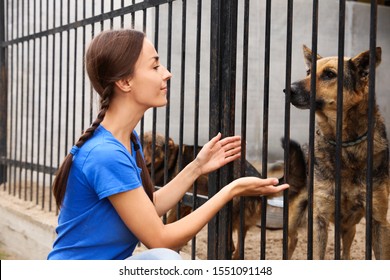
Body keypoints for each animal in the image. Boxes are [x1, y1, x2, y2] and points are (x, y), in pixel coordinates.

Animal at [284, 44, 390, 260]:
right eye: (309, 72)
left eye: (329, 75)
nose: (288, 89)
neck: (345, 145)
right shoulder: (319, 220)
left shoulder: (379, 220)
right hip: (293, 221)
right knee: (292, 240)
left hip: (350, 226)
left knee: (346, 250)